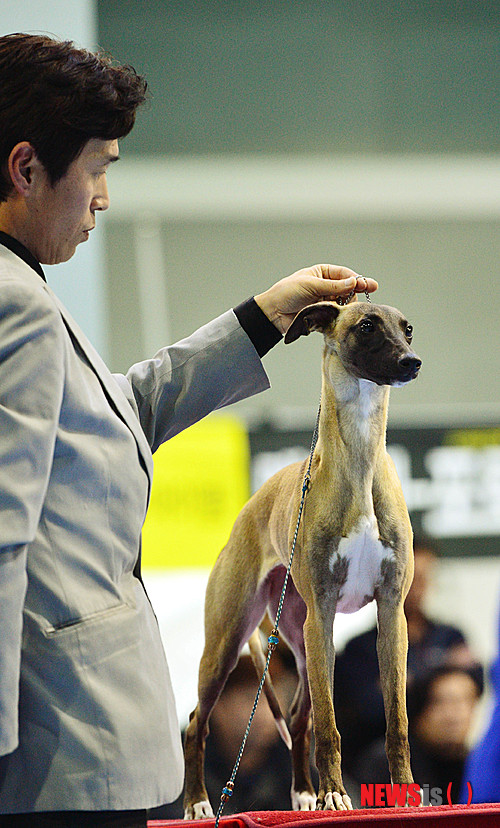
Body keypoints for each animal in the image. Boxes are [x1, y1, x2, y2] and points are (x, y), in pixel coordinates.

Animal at [184, 300, 422, 816]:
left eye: (408, 328)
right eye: (366, 325)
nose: (411, 362)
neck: (360, 464)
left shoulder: (392, 612)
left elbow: (396, 720)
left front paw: (404, 793)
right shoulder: (325, 611)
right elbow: (331, 727)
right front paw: (336, 793)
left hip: (302, 636)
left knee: (296, 719)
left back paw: (303, 793)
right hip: (234, 640)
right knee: (196, 723)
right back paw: (198, 803)